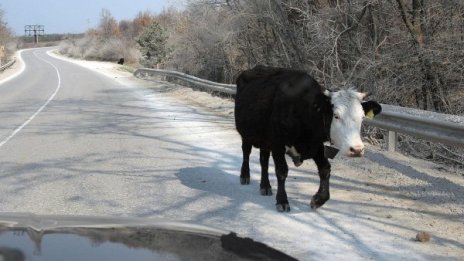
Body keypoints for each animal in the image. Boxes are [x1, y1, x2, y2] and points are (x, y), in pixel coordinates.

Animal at [234, 65, 382, 211]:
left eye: (362, 117)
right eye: (336, 116)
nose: (357, 149)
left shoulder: (316, 145)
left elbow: (325, 169)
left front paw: (319, 199)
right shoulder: (278, 144)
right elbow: (282, 171)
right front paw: (282, 200)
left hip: (265, 140)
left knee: (263, 160)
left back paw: (265, 186)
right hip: (246, 135)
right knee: (246, 152)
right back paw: (245, 176)